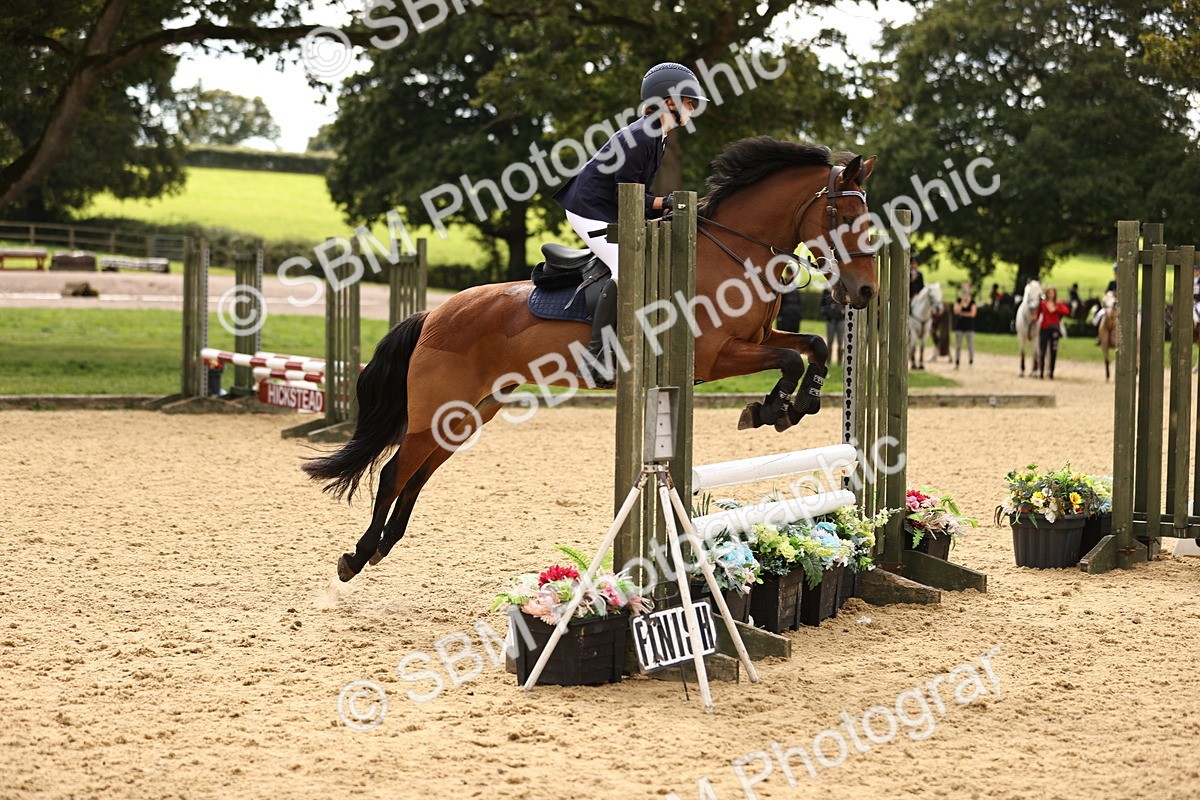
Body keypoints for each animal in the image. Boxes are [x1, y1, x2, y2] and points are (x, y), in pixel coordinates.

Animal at [303, 138, 880, 582]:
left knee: (417, 474)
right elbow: (788, 359)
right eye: (846, 216)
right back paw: (357, 556)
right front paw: (771, 409)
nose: (865, 293)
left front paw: (796, 405)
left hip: (469, 413)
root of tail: (434, 313)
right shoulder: (715, 357)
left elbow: (811, 346)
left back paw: (383, 544)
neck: (730, 257)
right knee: (394, 471)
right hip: (438, 410)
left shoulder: (756, 338)